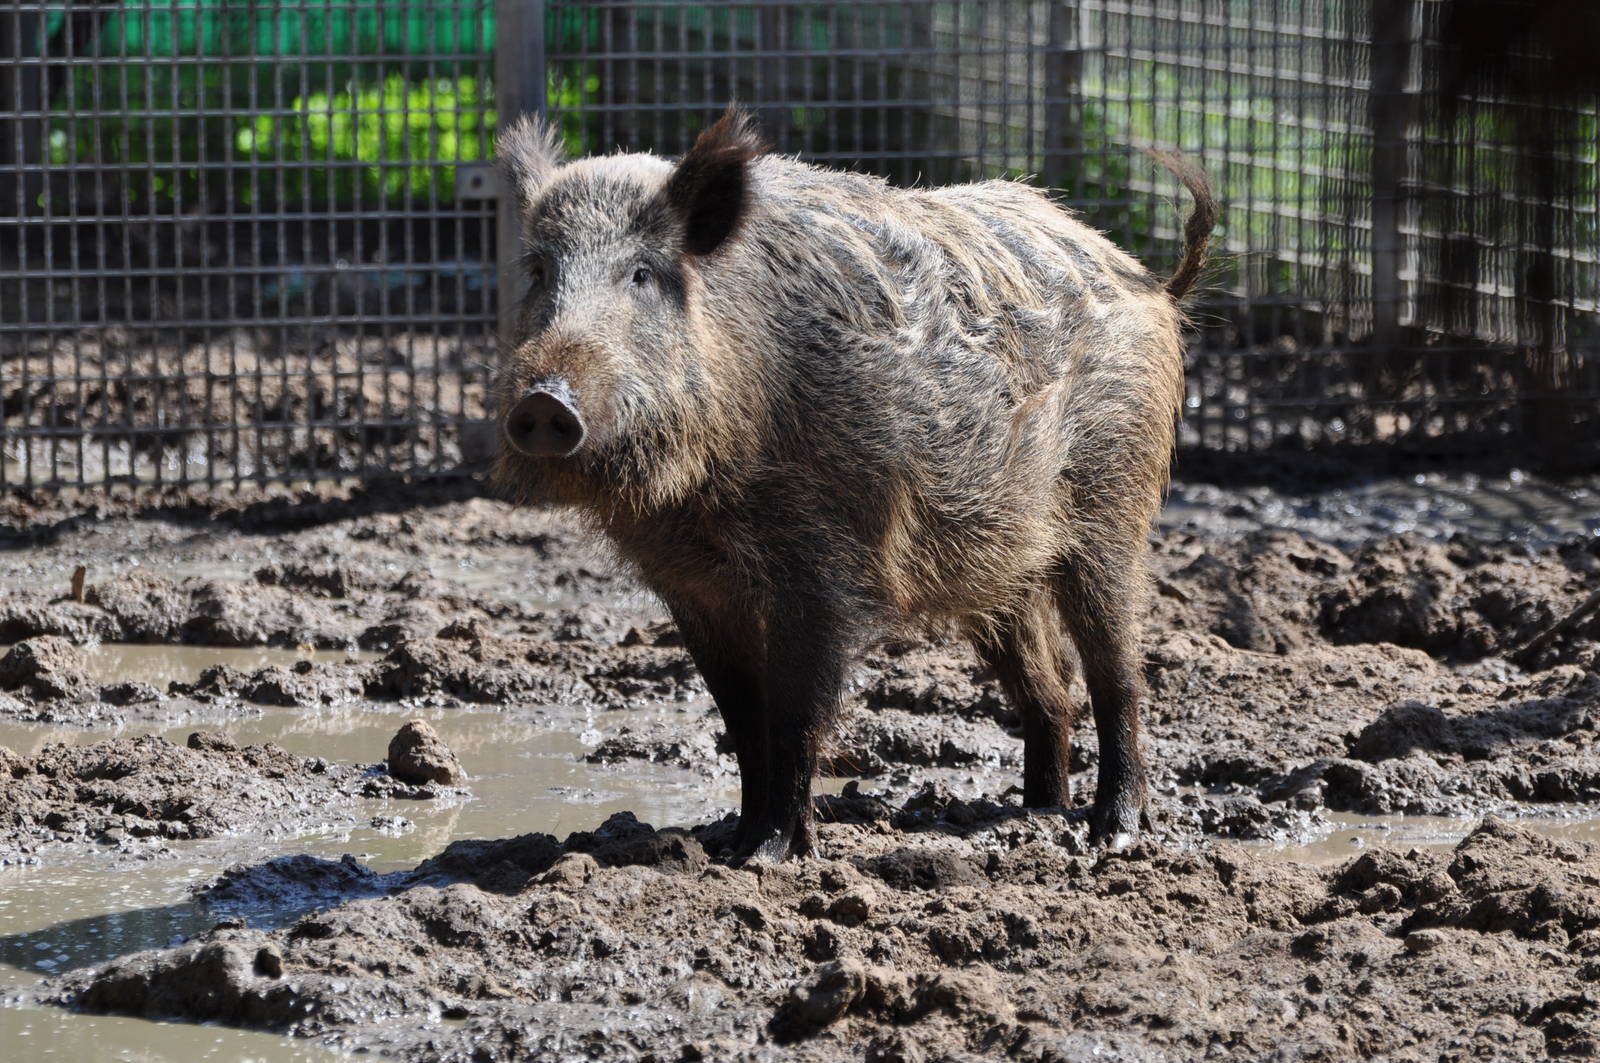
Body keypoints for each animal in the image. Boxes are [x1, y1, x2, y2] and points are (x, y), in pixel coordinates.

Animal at [493, 107, 1216, 860]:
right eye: (539, 271)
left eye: (641, 273)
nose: (544, 401)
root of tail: (1147, 280)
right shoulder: (690, 586)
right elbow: (743, 719)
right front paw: (728, 844)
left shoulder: (827, 567)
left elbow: (794, 714)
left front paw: (765, 855)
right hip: (1006, 566)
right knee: (1049, 690)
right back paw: (1037, 812)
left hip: (1114, 497)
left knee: (1118, 670)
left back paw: (1112, 834)